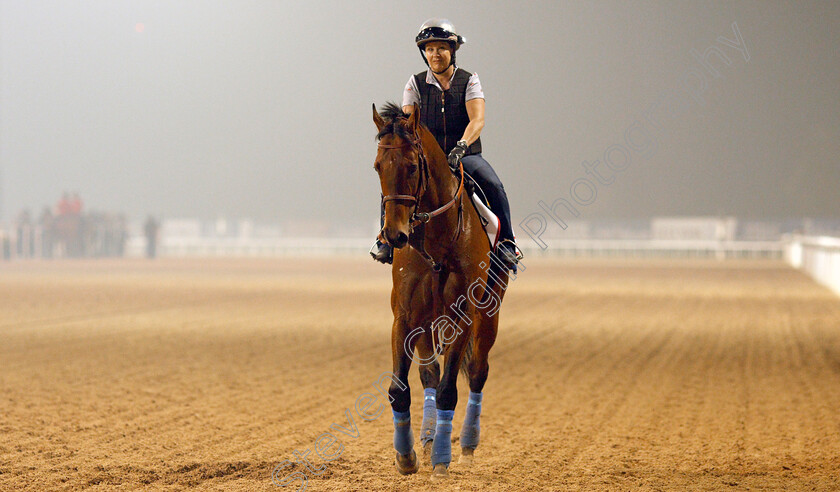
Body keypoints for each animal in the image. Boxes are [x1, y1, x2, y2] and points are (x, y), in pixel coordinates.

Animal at [374, 102, 512, 478]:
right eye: (377, 166)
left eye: (411, 165)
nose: (394, 235)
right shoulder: (405, 317)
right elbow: (400, 388)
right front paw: (406, 456)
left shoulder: (464, 315)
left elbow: (451, 389)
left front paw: (441, 460)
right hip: (428, 321)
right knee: (429, 376)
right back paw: (427, 438)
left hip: (488, 314)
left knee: (477, 372)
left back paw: (465, 445)